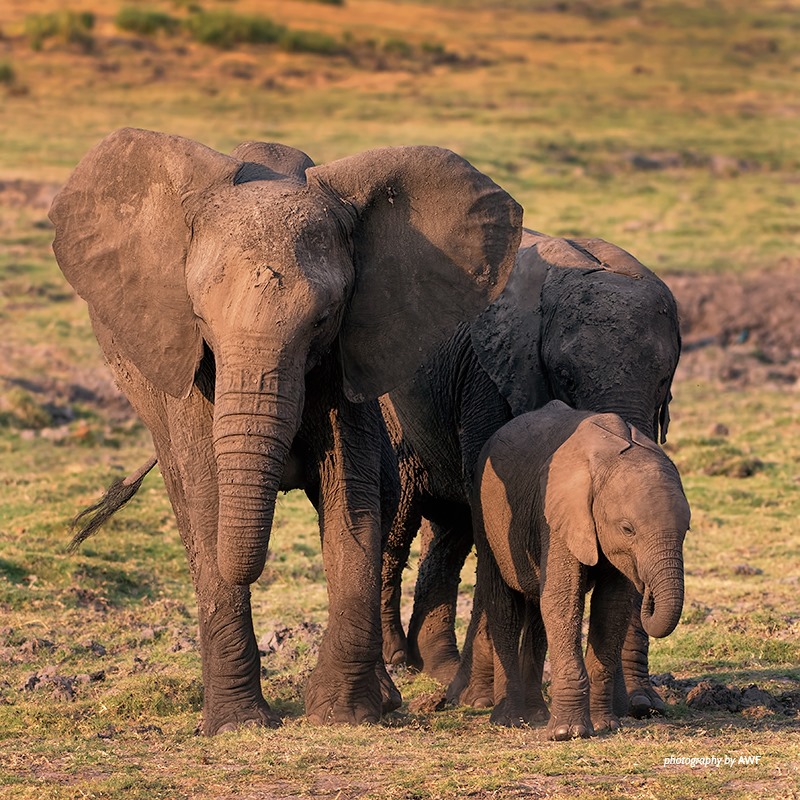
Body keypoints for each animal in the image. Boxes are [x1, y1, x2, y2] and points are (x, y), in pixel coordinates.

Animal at [49, 127, 522, 734]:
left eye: (322, 319)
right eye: (201, 318)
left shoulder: (351, 352)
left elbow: (354, 496)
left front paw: (342, 716)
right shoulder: (189, 367)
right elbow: (208, 498)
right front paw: (238, 726)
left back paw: (384, 696)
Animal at [380, 228, 681, 717]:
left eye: (663, 382)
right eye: (566, 377)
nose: (642, 705)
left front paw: (639, 703)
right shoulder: (486, 380)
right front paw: (485, 700)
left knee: (450, 532)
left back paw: (439, 668)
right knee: (399, 520)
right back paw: (401, 662)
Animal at [467, 400, 690, 739]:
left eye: (686, 530)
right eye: (627, 529)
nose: (647, 589)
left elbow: (611, 607)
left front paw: (605, 725)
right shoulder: (558, 512)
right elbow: (563, 599)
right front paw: (567, 733)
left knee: (537, 613)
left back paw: (536, 714)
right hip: (487, 513)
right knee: (504, 606)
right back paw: (509, 719)